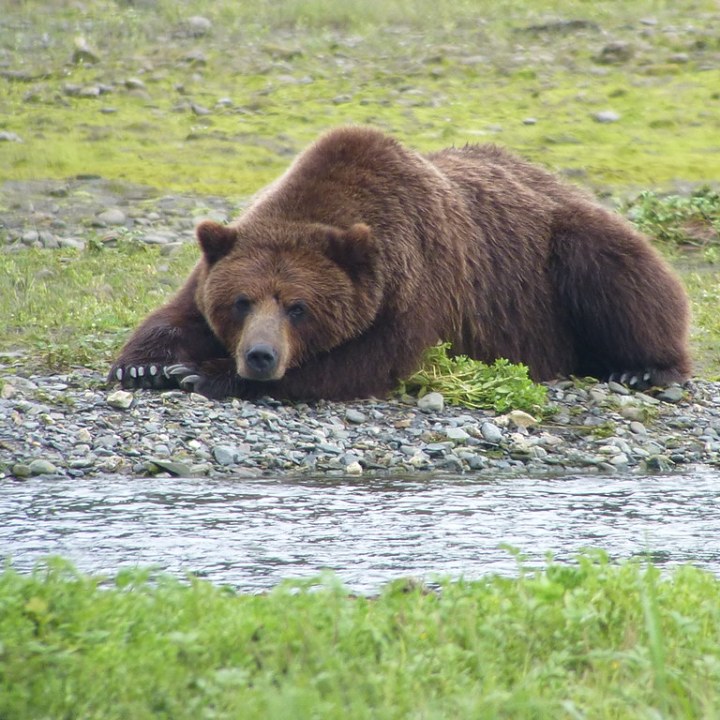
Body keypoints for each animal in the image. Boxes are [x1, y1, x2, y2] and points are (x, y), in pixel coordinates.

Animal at [109, 125, 691, 401]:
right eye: (241, 302)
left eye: (298, 307)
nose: (259, 356)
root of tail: (558, 180)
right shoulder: (226, 250)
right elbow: (177, 313)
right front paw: (147, 365)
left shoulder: (418, 287)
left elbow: (362, 363)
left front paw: (202, 373)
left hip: (561, 252)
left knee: (616, 271)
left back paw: (641, 368)